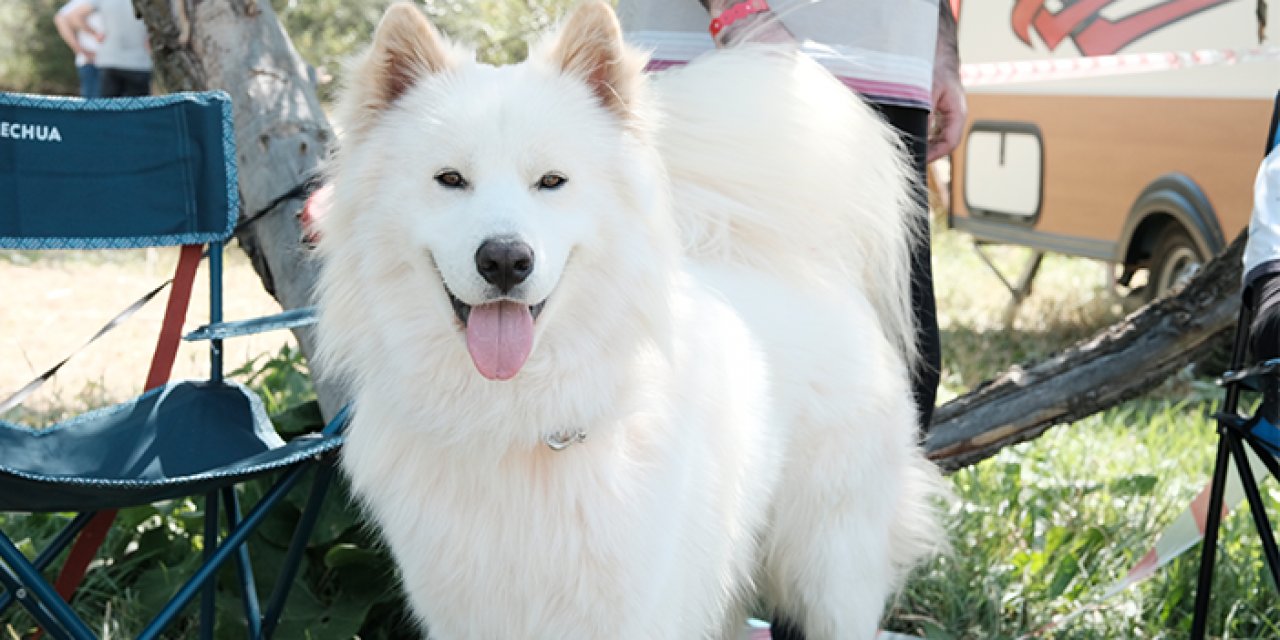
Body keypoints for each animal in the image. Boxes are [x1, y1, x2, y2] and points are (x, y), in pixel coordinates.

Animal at [316, 2, 947, 637]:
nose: (505, 260)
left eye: (552, 181)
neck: (515, 418)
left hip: (832, 572)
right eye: (450, 179)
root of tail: (805, 263)